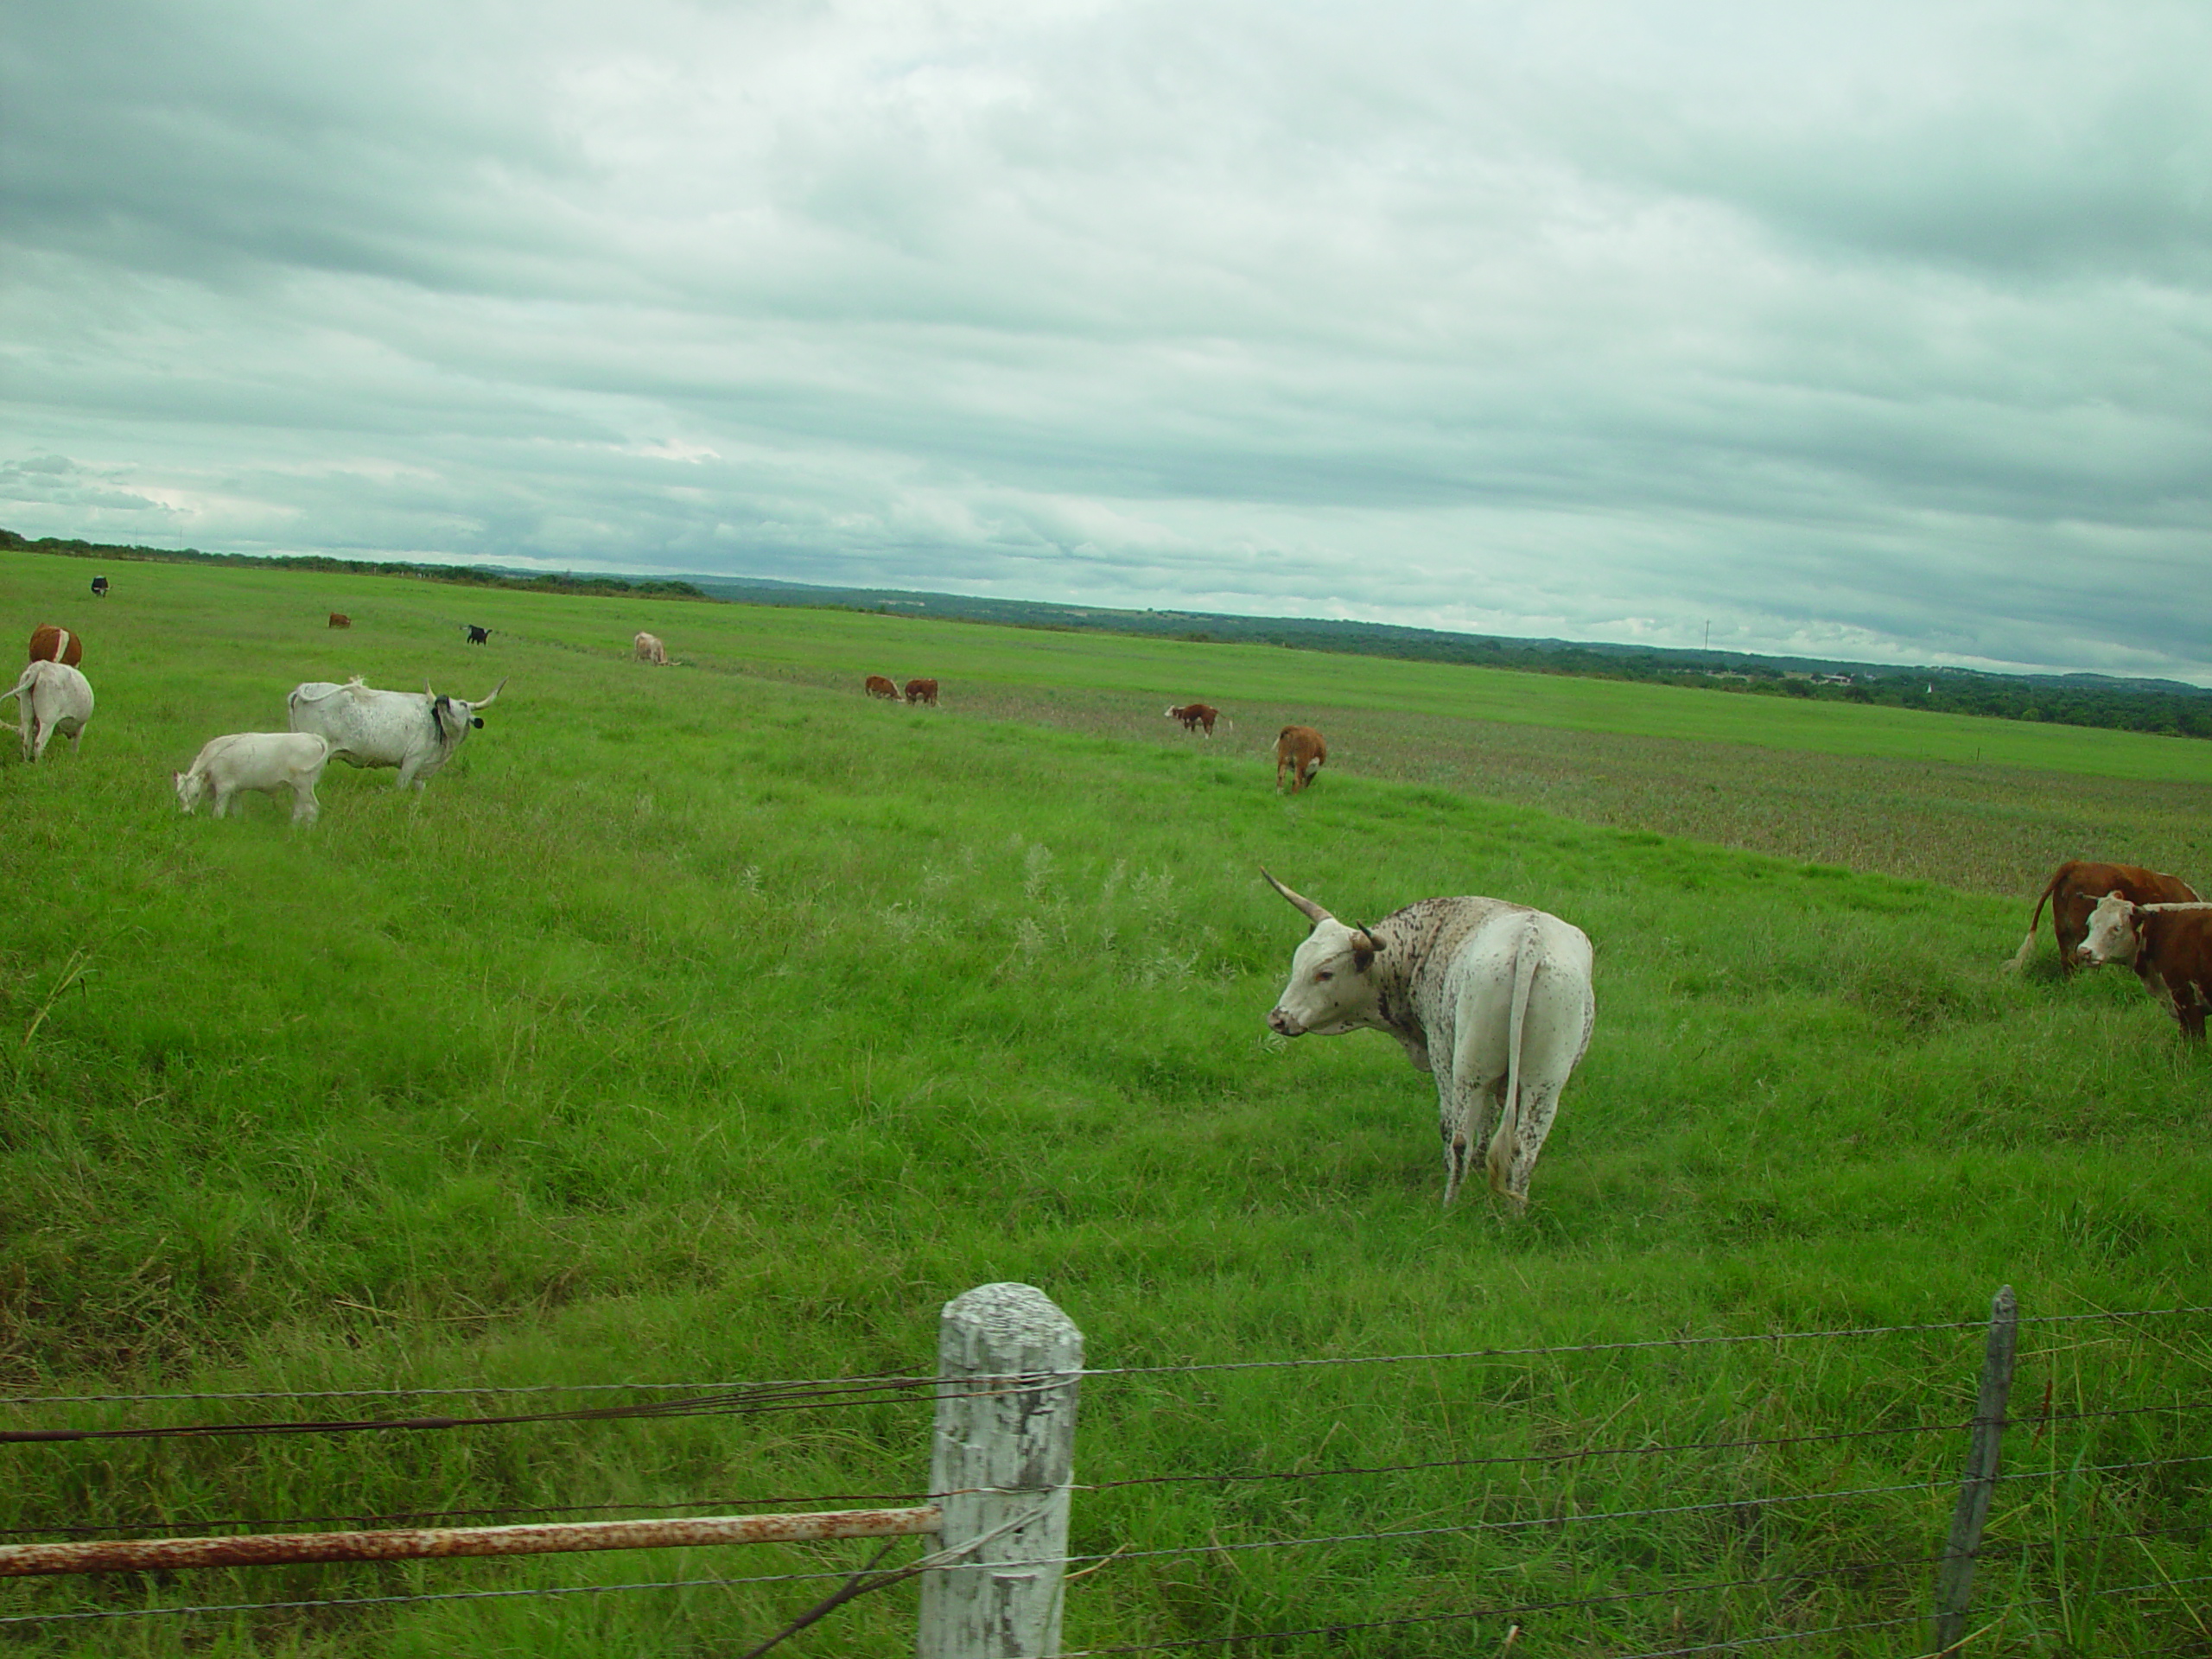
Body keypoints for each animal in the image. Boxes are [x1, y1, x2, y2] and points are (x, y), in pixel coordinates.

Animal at [175, 734, 336, 827]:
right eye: (179, 795)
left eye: (196, 794)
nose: (186, 813)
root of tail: (311, 737)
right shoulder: (235, 791)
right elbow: (237, 811)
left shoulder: (224, 788)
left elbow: (218, 812)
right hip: (298, 787)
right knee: (299, 808)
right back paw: (293, 828)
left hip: (304, 785)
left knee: (312, 808)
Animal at [285, 677, 506, 791]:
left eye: (462, 705)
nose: (442, 698)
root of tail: (307, 687)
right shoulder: (412, 761)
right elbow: (401, 787)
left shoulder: (420, 772)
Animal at [1265, 871, 1592, 1211]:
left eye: (1325, 973)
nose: (1278, 1018)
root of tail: (1530, 940)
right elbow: (1488, 1120)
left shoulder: (1440, 1052)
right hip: (1543, 1084)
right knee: (1524, 1150)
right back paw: (1515, 1213)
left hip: (1467, 1070)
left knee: (1459, 1138)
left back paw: (1449, 1207)